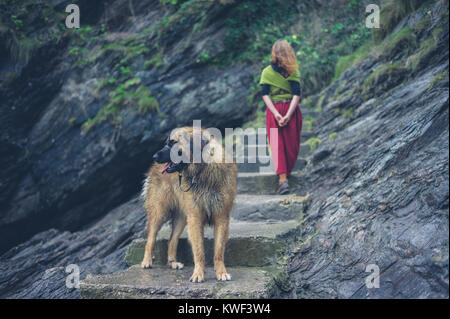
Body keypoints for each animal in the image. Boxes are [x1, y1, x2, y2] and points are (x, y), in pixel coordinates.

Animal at [140, 126, 239, 284]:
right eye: (167, 142)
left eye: (173, 143)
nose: (154, 156)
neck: (203, 169)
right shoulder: (195, 218)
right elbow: (199, 251)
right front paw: (198, 274)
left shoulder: (222, 217)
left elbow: (218, 250)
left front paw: (221, 272)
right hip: (159, 211)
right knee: (151, 237)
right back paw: (146, 261)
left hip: (182, 217)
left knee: (172, 239)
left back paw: (173, 263)